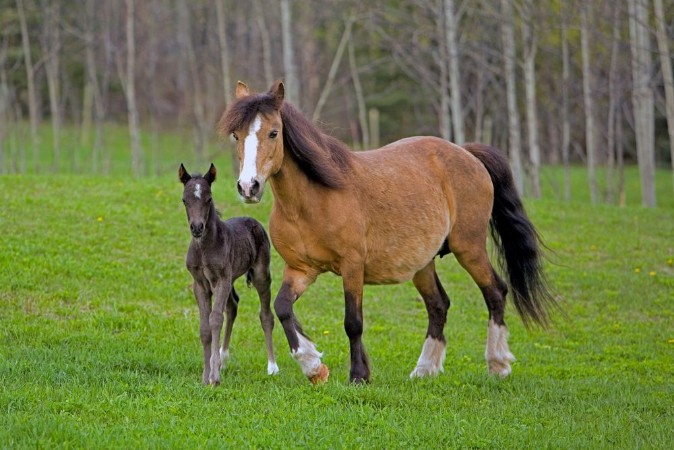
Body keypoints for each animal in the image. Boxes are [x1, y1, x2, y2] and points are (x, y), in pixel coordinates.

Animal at [179, 163, 278, 385]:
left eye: (209, 199)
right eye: (184, 200)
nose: (197, 228)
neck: (204, 248)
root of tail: (253, 221)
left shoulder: (221, 279)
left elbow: (216, 319)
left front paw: (214, 378)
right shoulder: (200, 284)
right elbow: (205, 327)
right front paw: (206, 375)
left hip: (260, 274)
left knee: (266, 315)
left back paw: (272, 367)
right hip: (231, 279)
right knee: (233, 306)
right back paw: (222, 360)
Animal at [218, 81, 556, 384]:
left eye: (273, 132)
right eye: (236, 135)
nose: (248, 187)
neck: (313, 201)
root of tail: (466, 153)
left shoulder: (352, 267)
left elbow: (353, 322)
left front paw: (358, 375)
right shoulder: (301, 269)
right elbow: (282, 308)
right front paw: (313, 365)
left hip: (469, 248)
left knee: (495, 292)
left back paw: (498, 365)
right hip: (423, 263)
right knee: (438, 306)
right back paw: (424, 370)